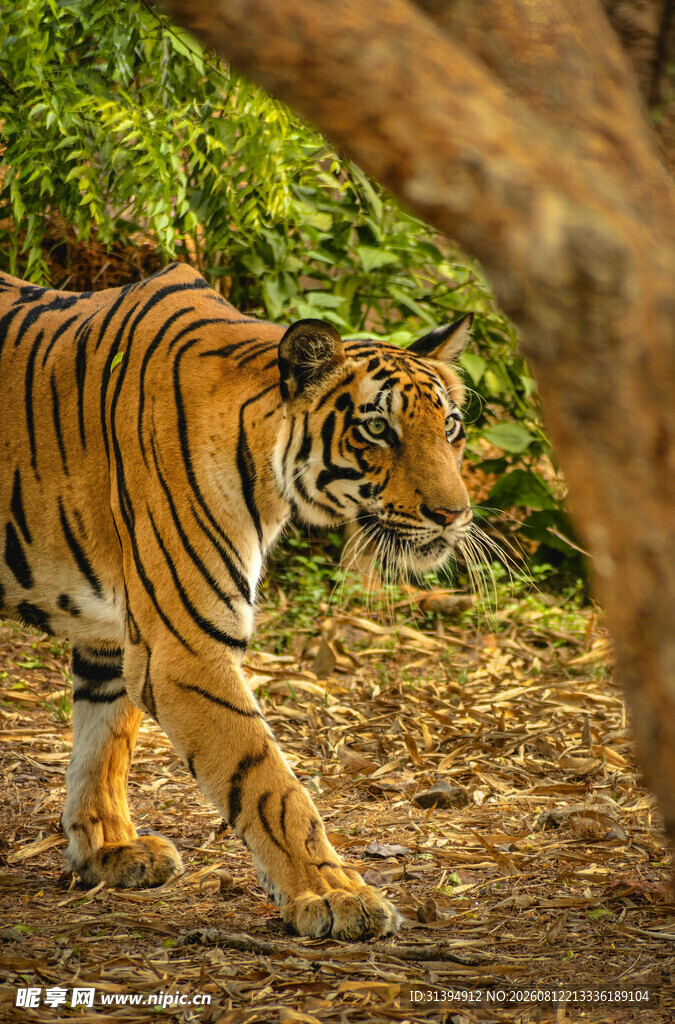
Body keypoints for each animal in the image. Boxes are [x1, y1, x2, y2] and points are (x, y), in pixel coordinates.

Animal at [0, 262, 473, 940]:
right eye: (378, 428)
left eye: (451, 427)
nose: (454, 514)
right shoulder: (185, 649)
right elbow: (268, 781)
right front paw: (335, 894)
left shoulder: (115, 633)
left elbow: (105, 740)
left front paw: (109, 850)